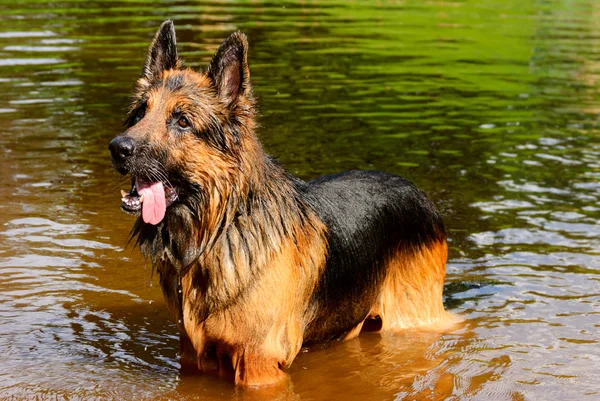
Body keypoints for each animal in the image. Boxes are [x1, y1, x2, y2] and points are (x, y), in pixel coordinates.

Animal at [108, 20, 452, 386]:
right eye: (140, 113)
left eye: (182, 121)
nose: (117, 148)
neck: (219, 231)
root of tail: (419, 192)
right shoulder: (192, 357)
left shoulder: (258, 364)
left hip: (413, 318)